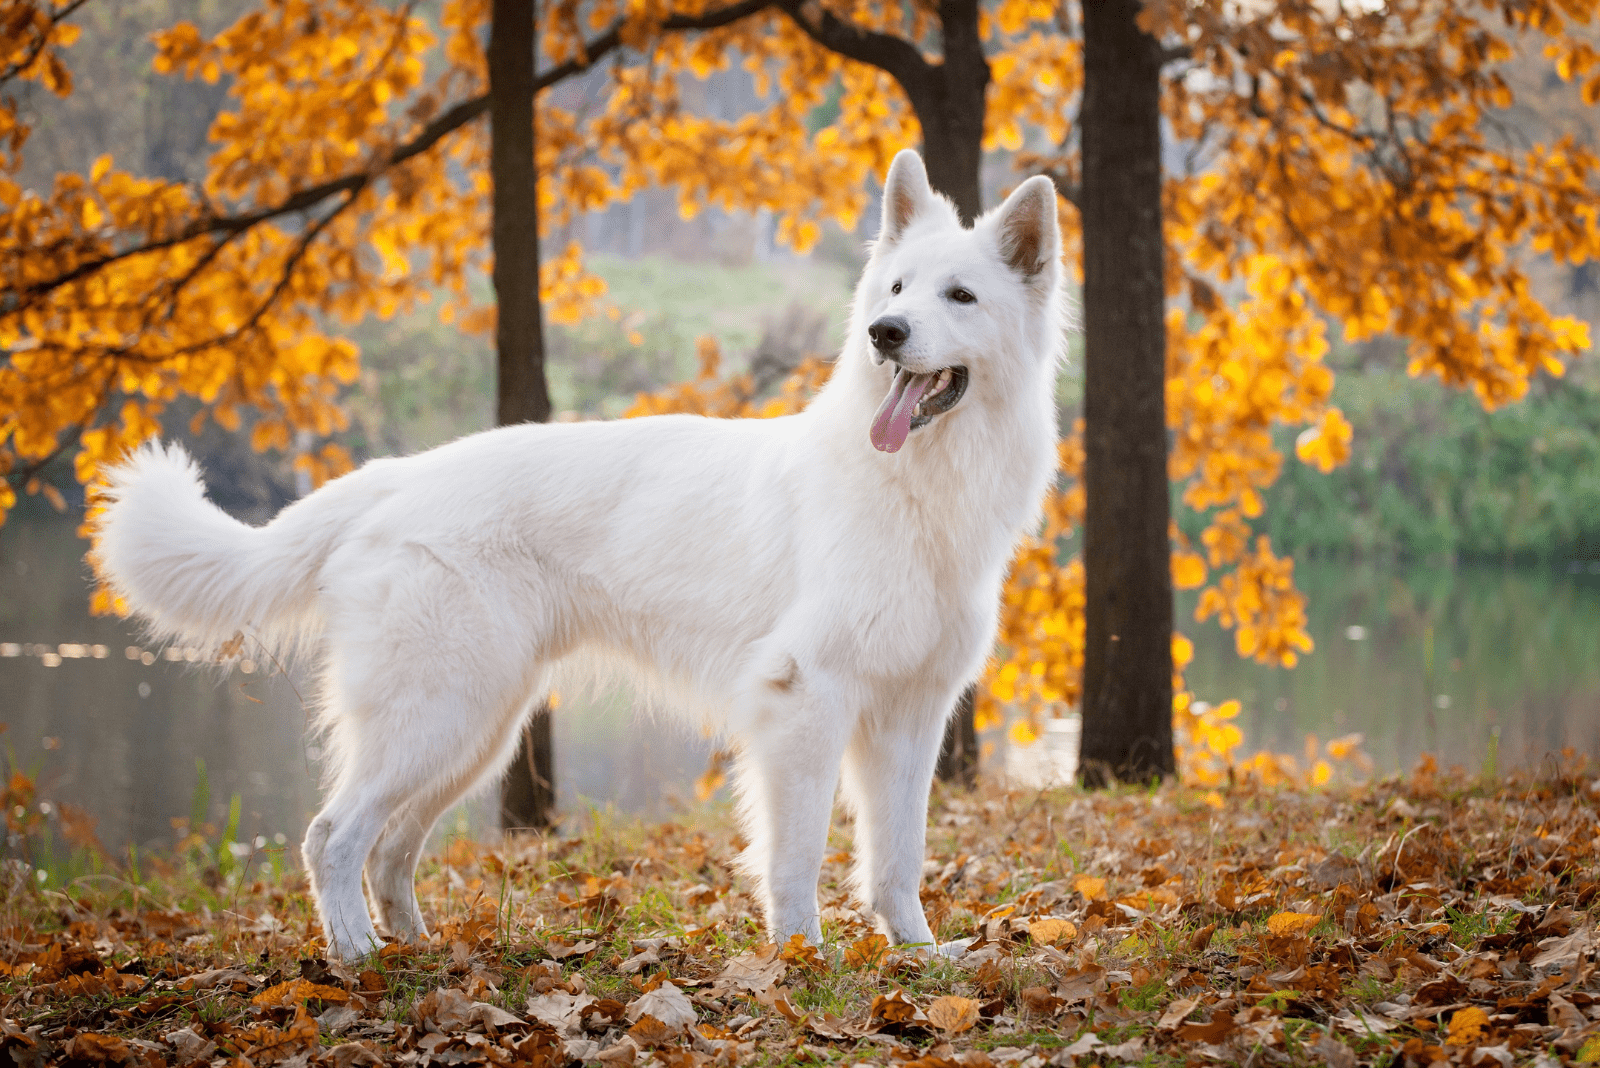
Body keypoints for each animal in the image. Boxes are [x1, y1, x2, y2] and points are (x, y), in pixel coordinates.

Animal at [93, 151, 1062, 959]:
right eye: (896, 288)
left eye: (960, 297)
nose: (885, 332)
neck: (915, 487)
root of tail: (394, 475)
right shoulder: (804, 703)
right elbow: (795, 859)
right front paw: (802, 961)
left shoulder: (909, 719)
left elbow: (898, 857)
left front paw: (917, 956)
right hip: (441, 716)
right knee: (333, 836)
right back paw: (359, 957)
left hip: (476, 730)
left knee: (389, 850)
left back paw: (416, 950)